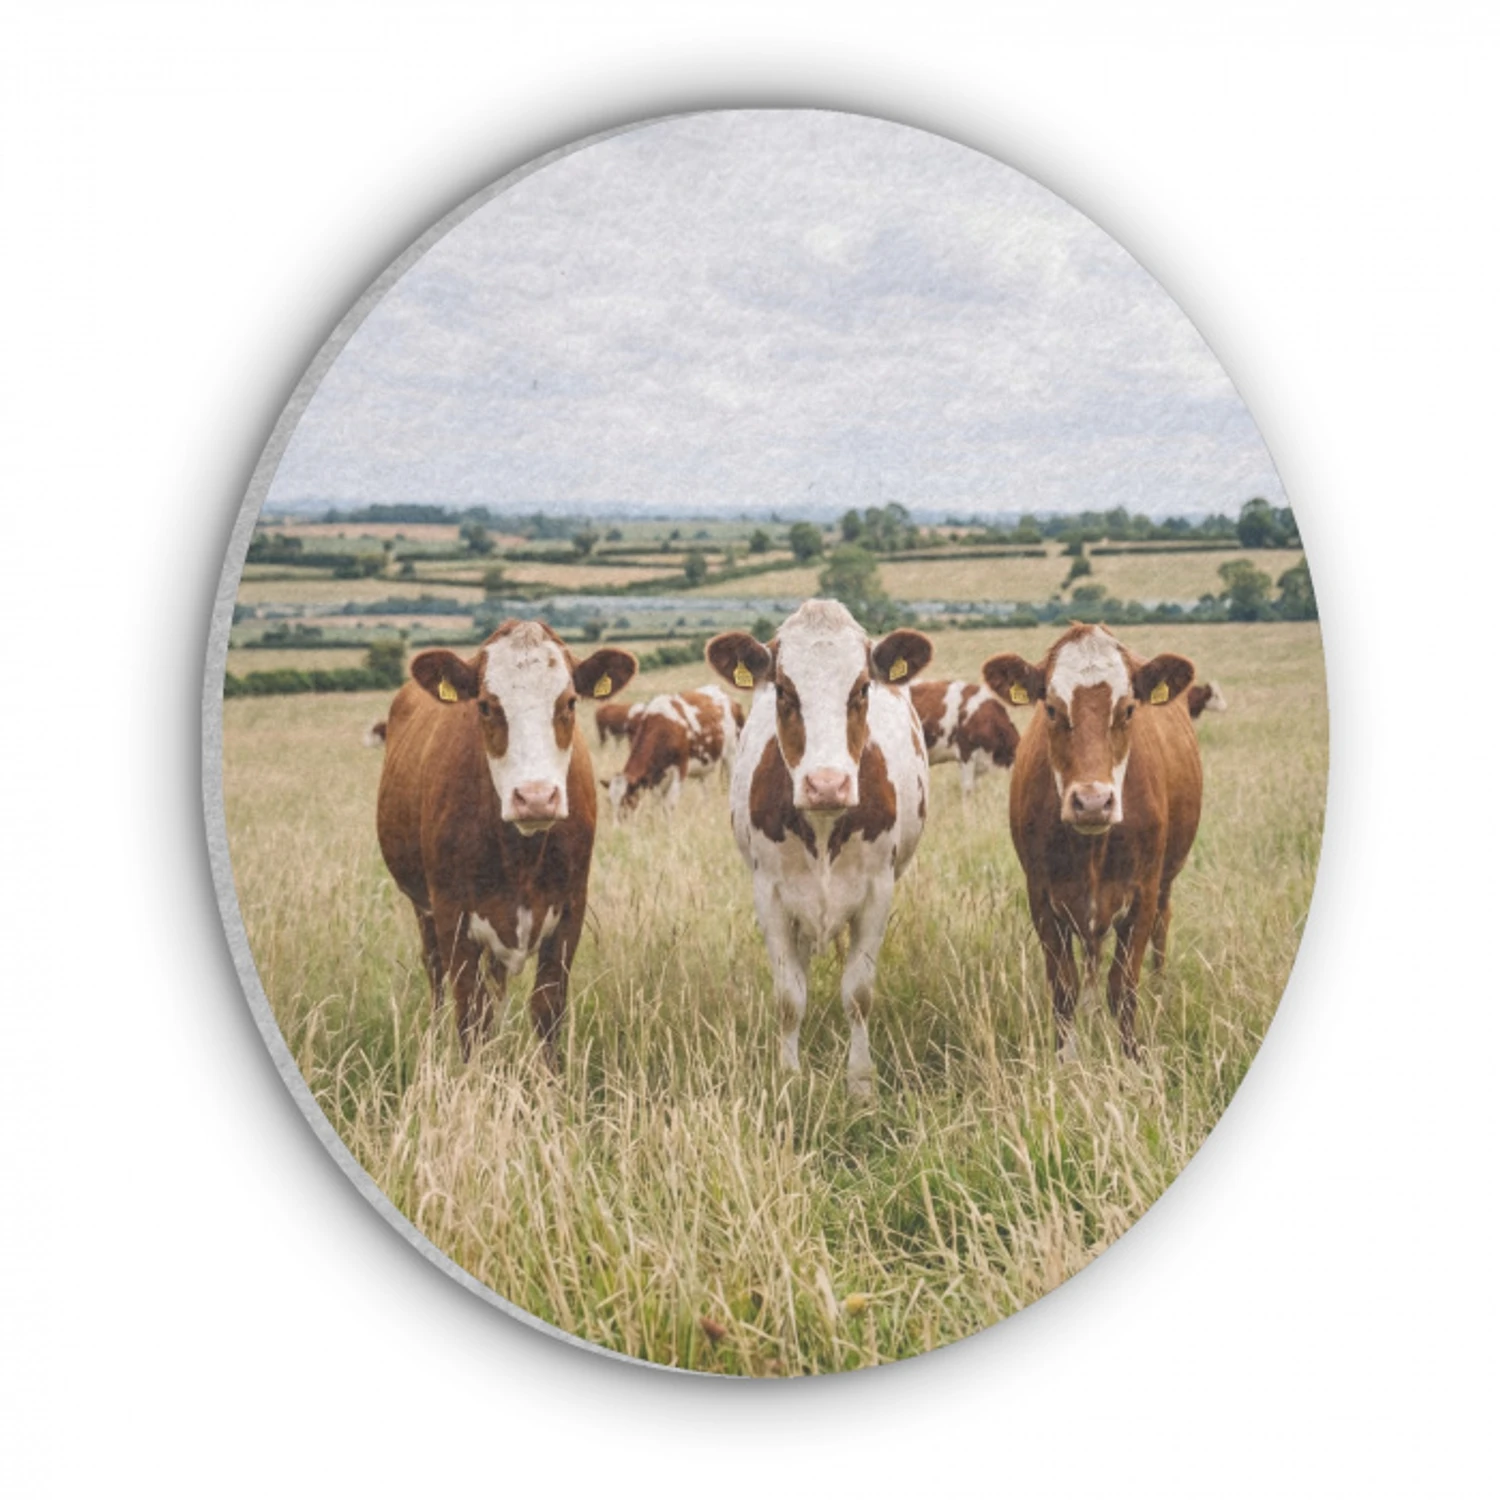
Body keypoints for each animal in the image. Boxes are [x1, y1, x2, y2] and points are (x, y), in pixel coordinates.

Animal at [375, 620, 637, 1061]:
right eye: (484, 705)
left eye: (569, 702)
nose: (535, 797)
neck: (521, 855)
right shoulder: (452, 916)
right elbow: (470, 1016)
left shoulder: (570, 912)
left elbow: (547, 1009)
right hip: (423, 909)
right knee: (435, 972)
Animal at [605, 686, 744, 812]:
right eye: (610, 802)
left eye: (627, 800)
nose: (617, 825)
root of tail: (732, 701)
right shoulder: (655, 777)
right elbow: (657, 803)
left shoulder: (680, 768)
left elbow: (669, 805)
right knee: (706, 792)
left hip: (732, 755)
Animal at [707, 600, 933, 1095]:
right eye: (784, 692)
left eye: (862, 688)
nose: (827, 784)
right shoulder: (770, 895)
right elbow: (789, 995)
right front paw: (789, 1077)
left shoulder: (877, 892)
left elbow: (858, 993)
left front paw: (861, 1082)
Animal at [982, 624, 1202, 1062]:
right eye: (1051, 709)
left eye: (1129, 709)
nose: (1093, 802)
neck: (1091, 850)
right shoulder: (1042, 898)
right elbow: (1064, 987)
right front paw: (1066, 1059)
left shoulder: (1143, 894)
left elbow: (1124, 986)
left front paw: (1131, 1057)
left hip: (1166, 882)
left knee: (1162, 927)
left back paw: (1160, 987)